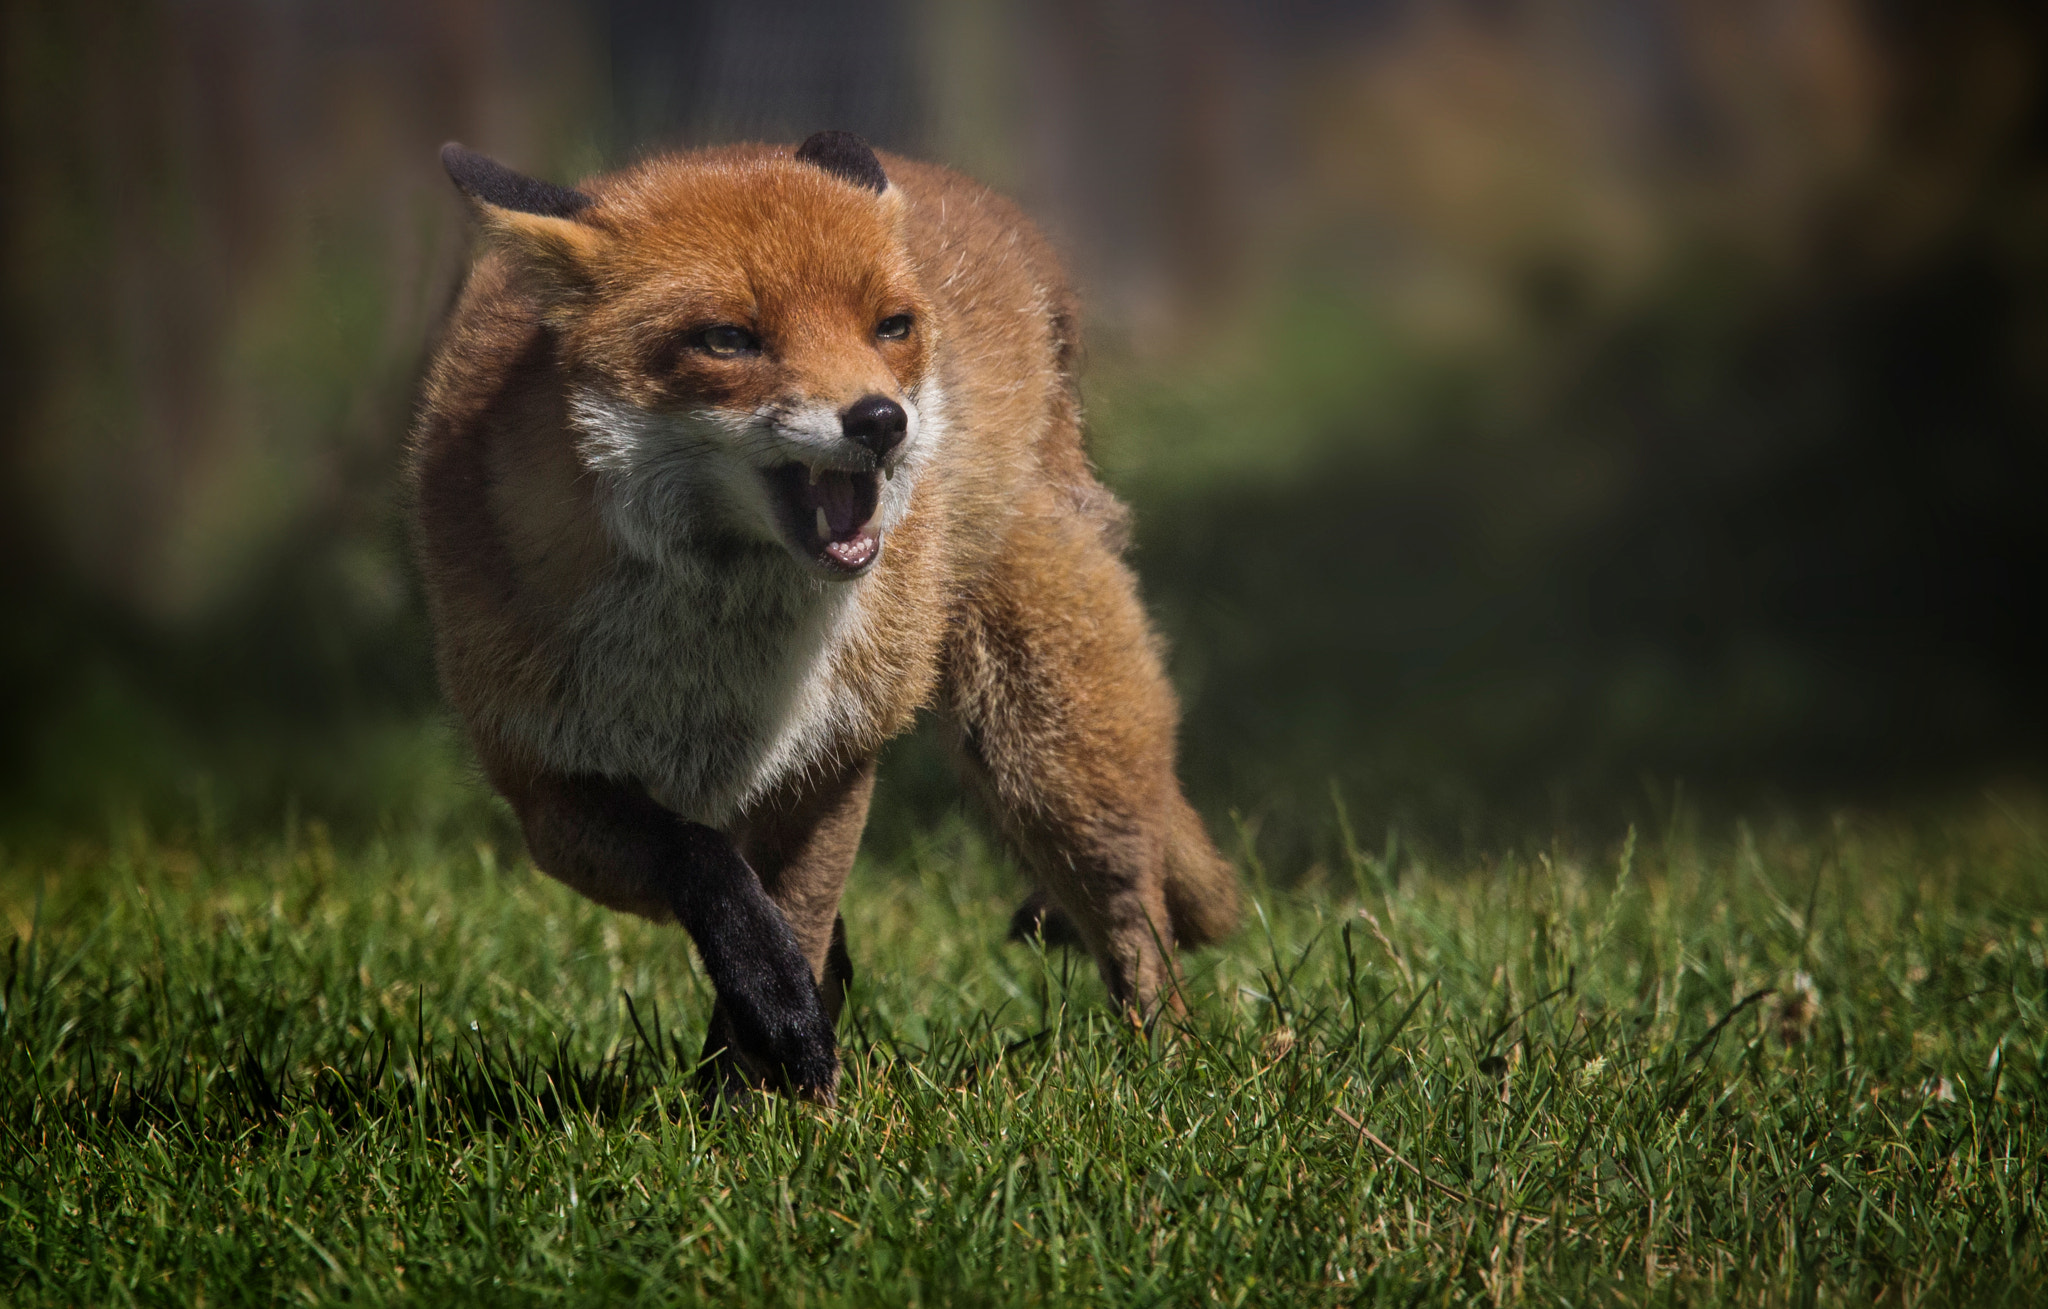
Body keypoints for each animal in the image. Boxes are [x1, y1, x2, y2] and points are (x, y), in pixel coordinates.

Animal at [403, 133, 1228, 1098]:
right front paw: (772, 1022)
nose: (880, 419)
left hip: (1044, 742)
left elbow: (795, 912)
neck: (718, 664)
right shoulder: (549, 788)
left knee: (1136, 916)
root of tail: (992, 213)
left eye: (891, 327)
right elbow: (707, 866)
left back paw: (1167, 1063)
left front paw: (778, 1100)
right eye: (728, 339)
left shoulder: (831, 758)